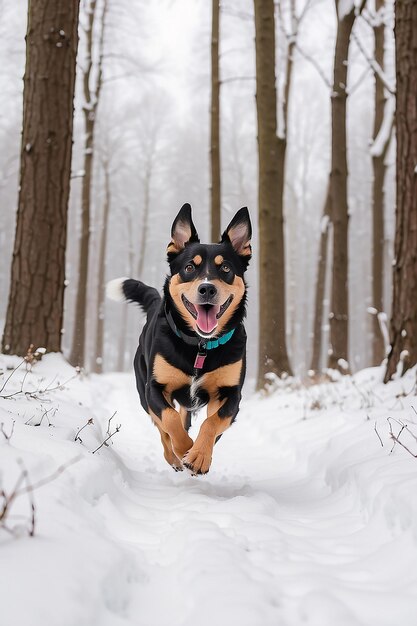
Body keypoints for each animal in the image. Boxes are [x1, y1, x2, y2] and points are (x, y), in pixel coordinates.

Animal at [107, 205, 250, 472]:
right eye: (190, 268)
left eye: (225, 269)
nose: (207, 289)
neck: (200, 345)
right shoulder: (153, 388)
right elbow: (169, 421)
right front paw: (184, 449)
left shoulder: (230, 393)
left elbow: (212, 422)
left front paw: (199, 454)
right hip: (142, 387)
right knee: (163, 426)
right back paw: (173, 456)